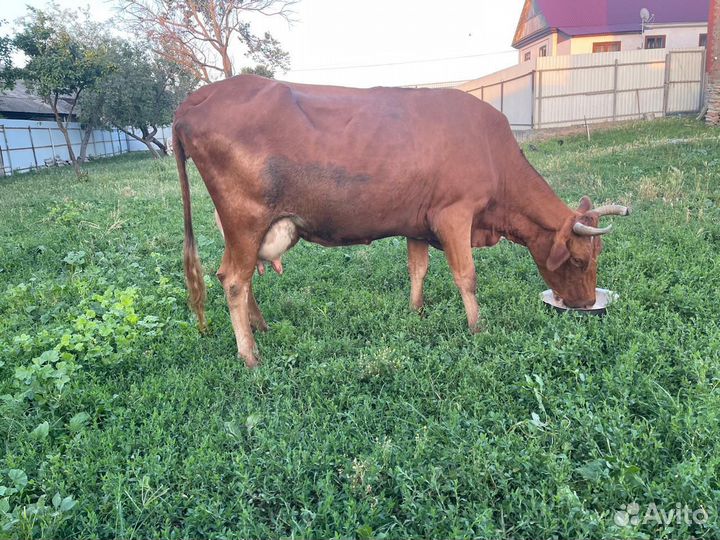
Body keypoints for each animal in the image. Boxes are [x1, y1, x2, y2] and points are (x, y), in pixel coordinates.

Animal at [173, 75, 629, 367]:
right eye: (580, 260)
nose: (587, 303)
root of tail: (197, 100)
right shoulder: (454, 213)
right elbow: (466, 276)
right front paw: (477, 327)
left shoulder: (418, 222)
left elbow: (418, 268)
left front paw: (416, 311)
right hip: (245, 218)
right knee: (234, 280)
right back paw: (249, 355)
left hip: (243, 227)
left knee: (238, 275)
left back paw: (262, 327)